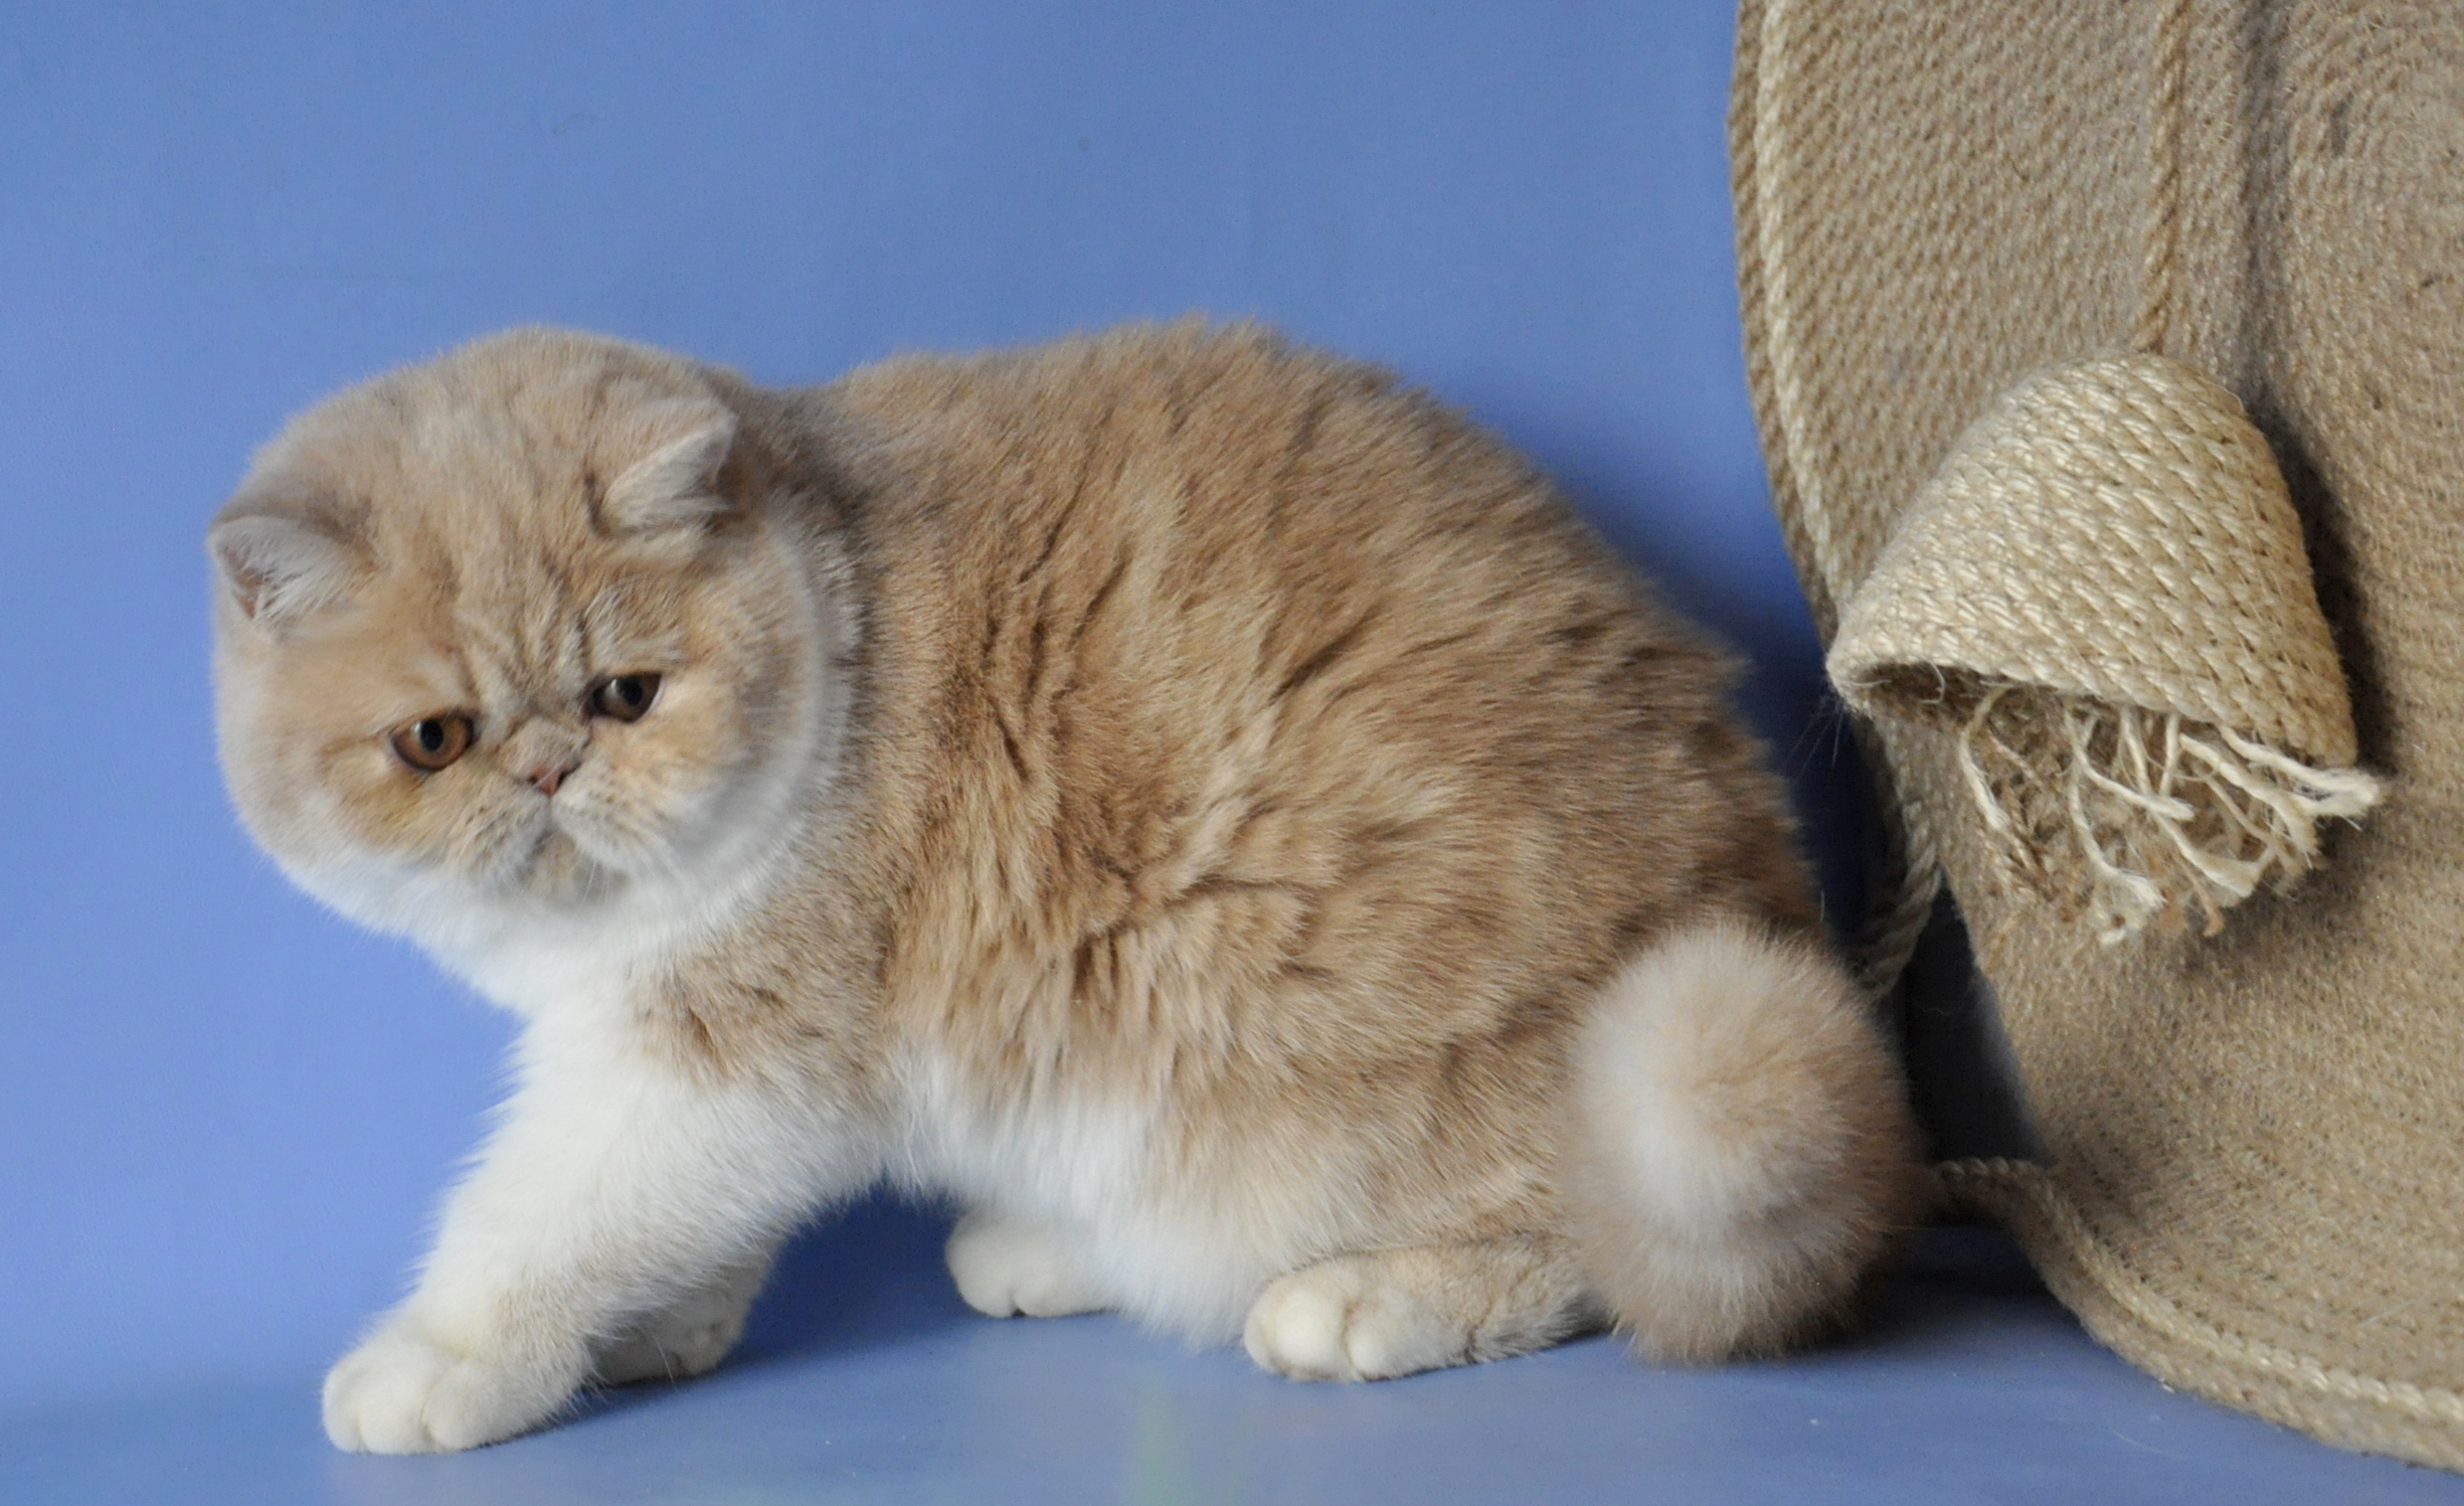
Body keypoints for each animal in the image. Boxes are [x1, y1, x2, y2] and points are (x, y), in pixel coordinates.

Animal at [207, 322, 1921, 1458]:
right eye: (435, 739)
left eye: (628, 694)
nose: (551, 769)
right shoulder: (720, 1083)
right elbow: (679, 1227)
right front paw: (658, 1330)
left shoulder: (714, 1065)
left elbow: (539, 1217)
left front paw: (447, 1356)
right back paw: (1050, 1246)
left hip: (1582, 1069)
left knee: (1594, 1244)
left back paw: (1360, 1299)